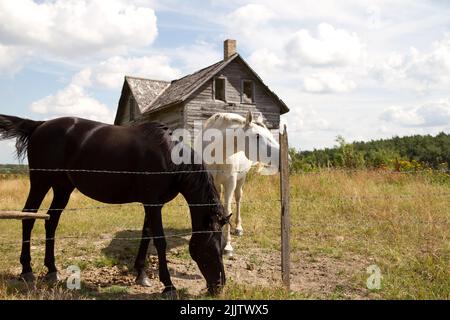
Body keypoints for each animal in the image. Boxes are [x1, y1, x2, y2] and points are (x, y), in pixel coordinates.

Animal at [0, 114, 229, 296]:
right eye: (210, 250)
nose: (218, 287)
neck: (169, 157)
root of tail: (40, 125)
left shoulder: (152, 203)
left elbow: (146, 236)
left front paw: (141, 275)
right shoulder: (153, 203)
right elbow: (160, 241)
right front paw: (168, 286)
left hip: (62, 187)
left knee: (51, 222)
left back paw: (52, 270)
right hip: (41, 182)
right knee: (28, 217)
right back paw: (27, 270)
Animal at [195, 111, 280, 256]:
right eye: (257, 135)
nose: (285, 157)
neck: (217, 151)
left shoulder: (231, 182)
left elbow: (228, 210)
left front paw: (227, 246)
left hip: (241, 180)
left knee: (238, 198)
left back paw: (238, 228)